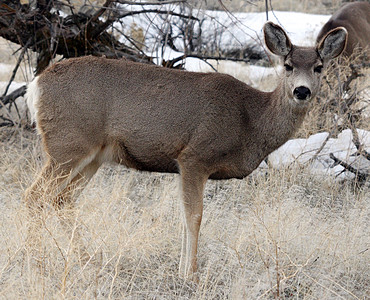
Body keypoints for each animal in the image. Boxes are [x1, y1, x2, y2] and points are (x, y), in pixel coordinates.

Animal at [24, 22, 348, 280]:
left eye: (319, 67)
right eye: (288, 65)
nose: (302, 91)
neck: (249, 120)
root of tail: (35, 85)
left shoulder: (186, 166)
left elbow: (183, 217)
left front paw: (182, 269)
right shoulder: (194, 157)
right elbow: (194, 216)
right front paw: (189, 274)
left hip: (93, 156)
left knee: (62, 200)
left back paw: (87, 257)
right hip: (67, 144)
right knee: (34, 196)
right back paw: (37, 261)